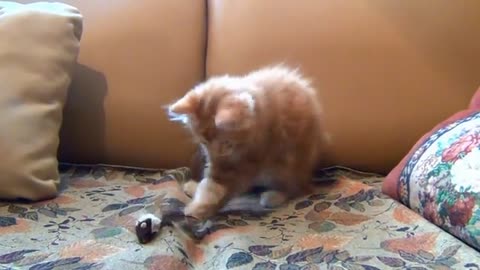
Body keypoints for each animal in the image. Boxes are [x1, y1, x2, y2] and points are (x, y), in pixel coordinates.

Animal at [168, 66, 322, 221]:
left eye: (226, 142)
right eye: (204, 142)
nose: (219, 153)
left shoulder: (249, 161)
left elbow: (219, 187)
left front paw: (199, 209)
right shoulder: (219, 162)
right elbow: (210, 181)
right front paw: (199, 195)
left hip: (286, 166)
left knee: (294, 188)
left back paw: (274, 197)